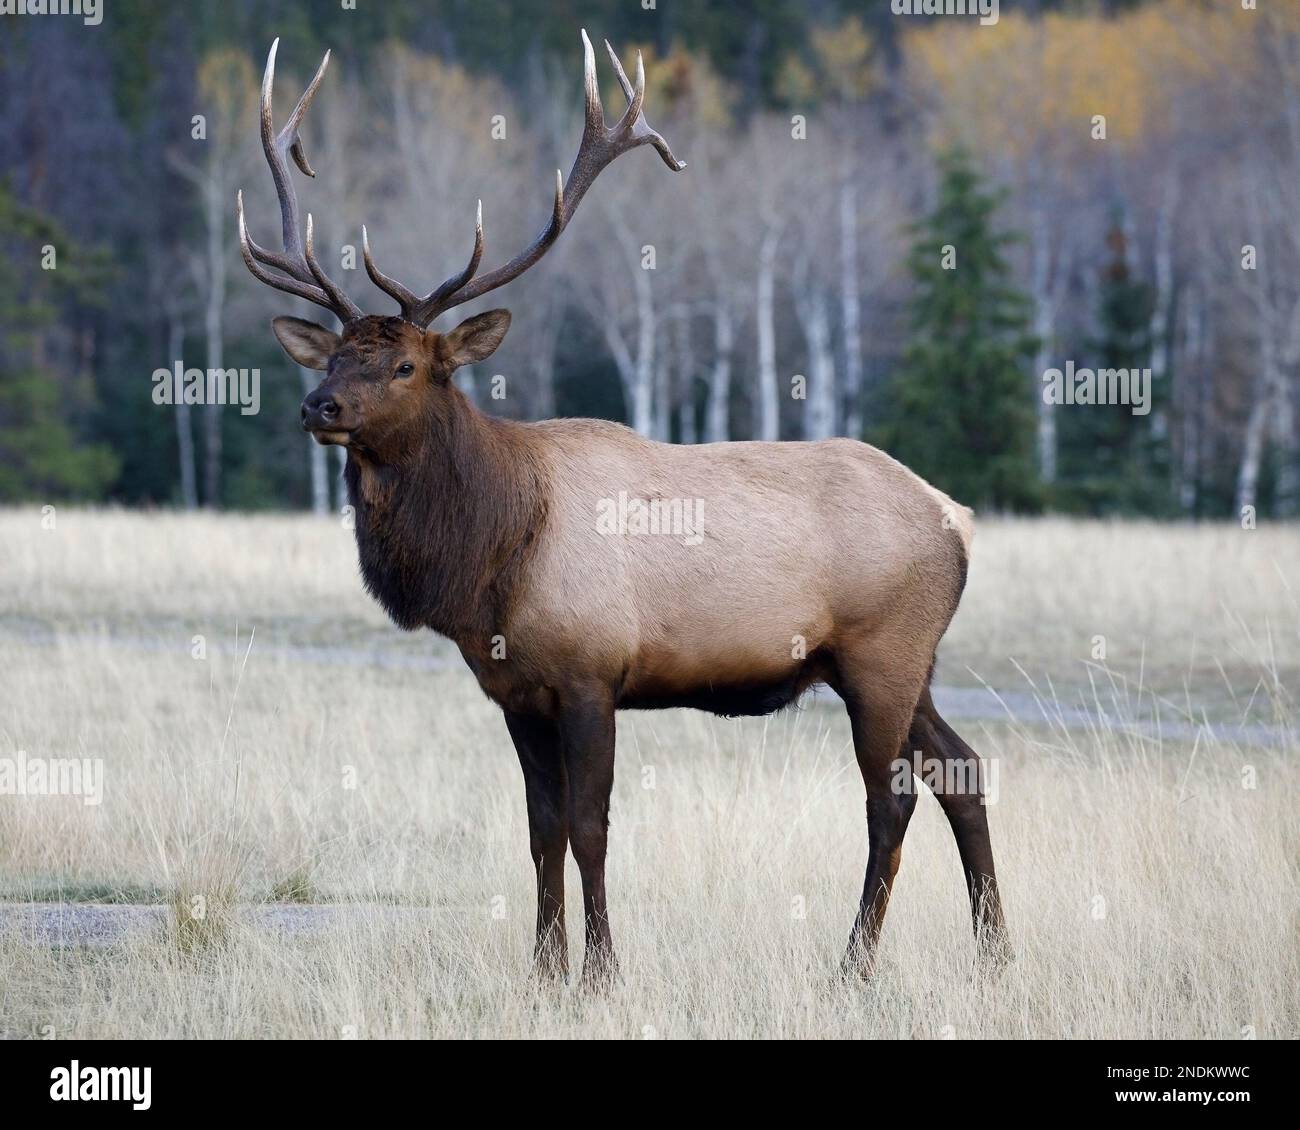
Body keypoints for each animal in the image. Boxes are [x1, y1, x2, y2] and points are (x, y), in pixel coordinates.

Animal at [238, 33, 1009, 986]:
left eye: (408, 365)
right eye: (337, 355)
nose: (318, 407)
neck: (491, 556)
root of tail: (957, 520)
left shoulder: (589, 673)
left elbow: (590, 827)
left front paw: (601, 972)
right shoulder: (515, 693)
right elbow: (540, 830)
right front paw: (543, 968)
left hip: (882, 652)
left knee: (889, 799)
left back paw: (853, 968)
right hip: (906, 662)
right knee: (963, 770)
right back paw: (995, 954)